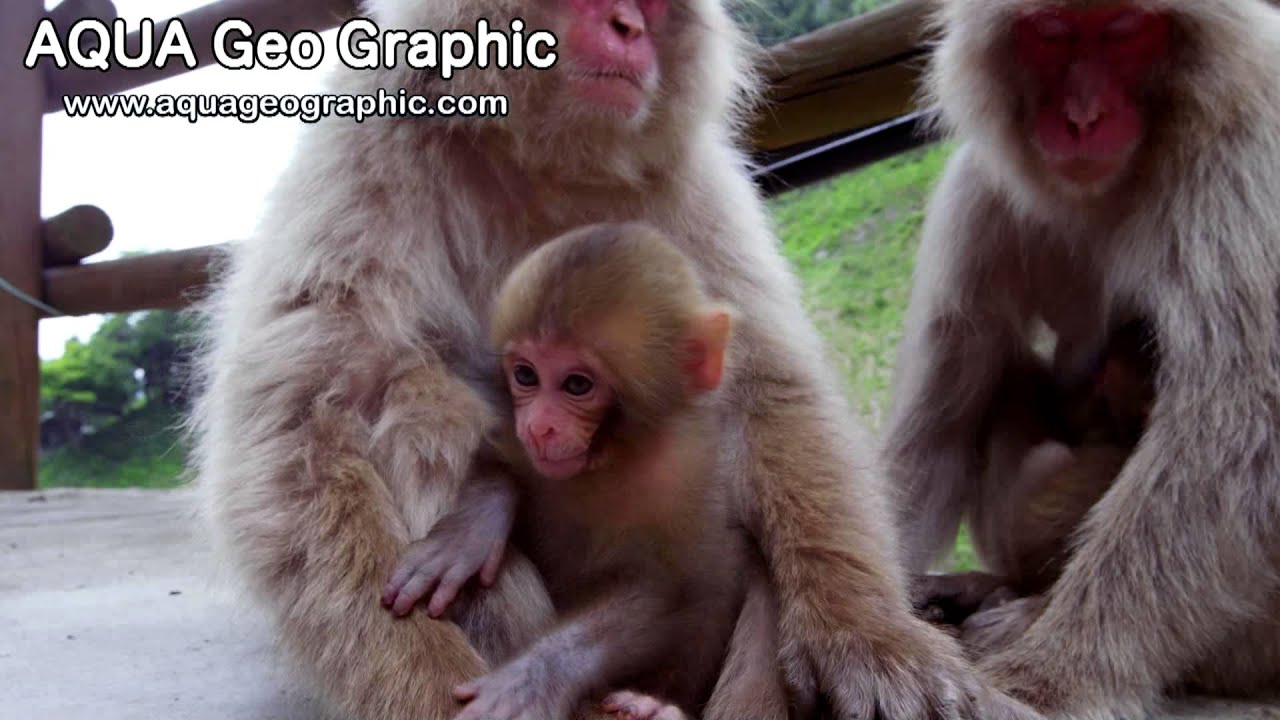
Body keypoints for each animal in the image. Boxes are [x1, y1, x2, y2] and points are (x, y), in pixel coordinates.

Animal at [380, 223, 788, 720]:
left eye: (577, 384)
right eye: (526, 375)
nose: (539, 426)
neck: (611, 459)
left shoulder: (683, 477)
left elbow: (670, 589)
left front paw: (536, 676)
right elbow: (497, 462)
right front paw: (467, 534)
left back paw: (655, 704)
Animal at [884, 0, 1280, 715]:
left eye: (1124, 32)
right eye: (1050, 32)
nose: (1083, 118)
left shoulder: (1246, 168)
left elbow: (1240, 427)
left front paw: (1056, 676)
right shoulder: (979, 190)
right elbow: (936, 429)